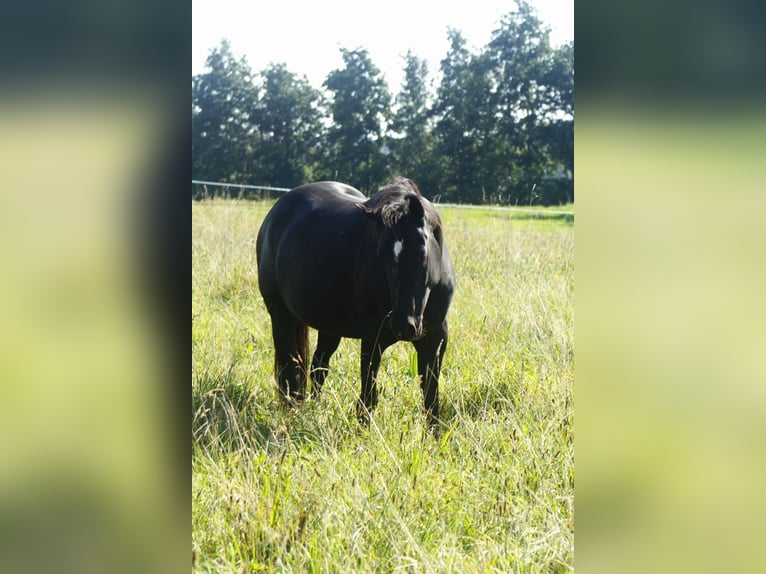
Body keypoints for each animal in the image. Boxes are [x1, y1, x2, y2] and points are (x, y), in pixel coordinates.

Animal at [256, 177, 455, 429]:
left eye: (421, 253)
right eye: (382, 257)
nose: (404, 326)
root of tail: (275, 213)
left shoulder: (436, 338)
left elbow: (431, 399)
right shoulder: (373, 337)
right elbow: (368, 397)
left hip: (329, 326)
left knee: (318, 368)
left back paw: (313, 408)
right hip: (280, 315)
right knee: (290, 369)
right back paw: (292, 409)